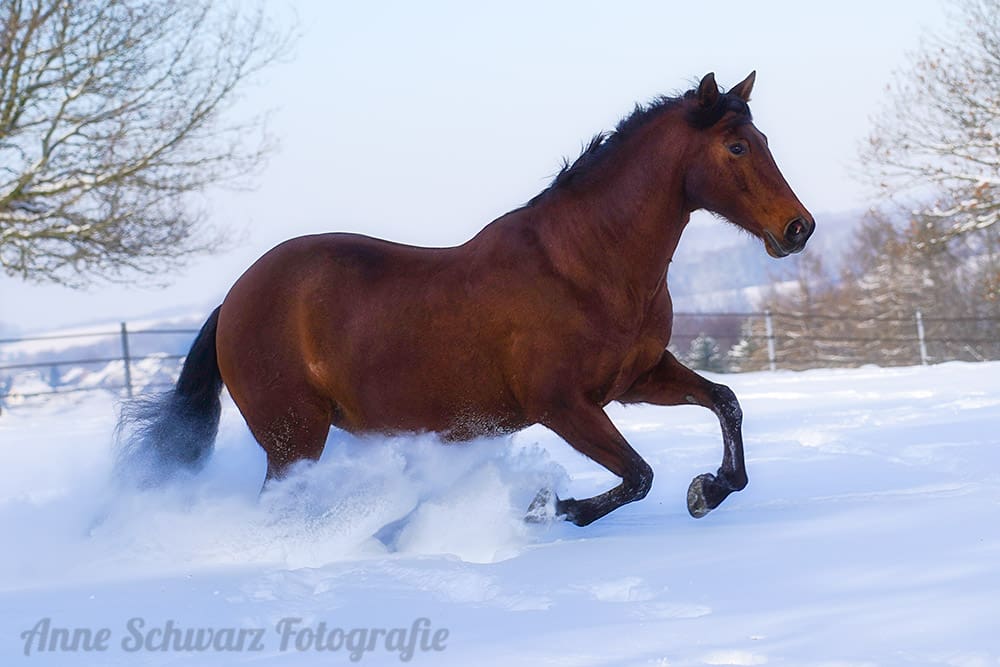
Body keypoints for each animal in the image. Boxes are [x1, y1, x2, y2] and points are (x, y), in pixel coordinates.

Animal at [119, 71, 814, 526]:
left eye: (765, 141)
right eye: (736, 146)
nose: (798, 228)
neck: (585, 265)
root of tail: (233, 301)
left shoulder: (637, 378)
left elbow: (725, 403)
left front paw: (710, 489)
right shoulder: (561, 403)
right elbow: (638, 475)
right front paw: (547, 508)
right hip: (294, 438)